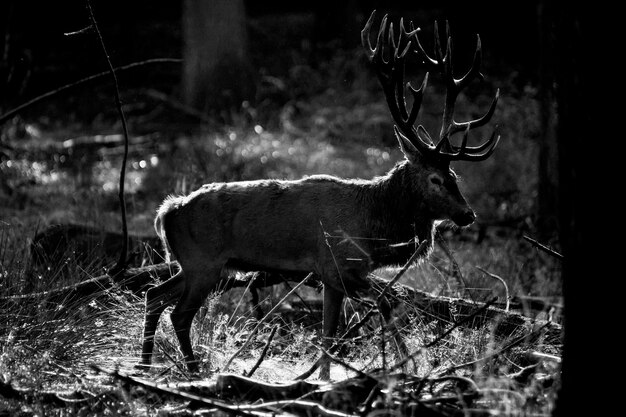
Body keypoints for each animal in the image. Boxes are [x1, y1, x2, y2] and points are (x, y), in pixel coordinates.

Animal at [136, 11, 498, 378]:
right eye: (436, 179)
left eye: (455, 176)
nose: (468, 214)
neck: (373, 228)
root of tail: (166, 212)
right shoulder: (336, 265)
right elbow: (365, 313)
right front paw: (397, 365)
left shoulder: (336, 276)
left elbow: (349, 320)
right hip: (204, 263)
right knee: (179, 313)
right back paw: (192, 370)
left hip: (198, 265)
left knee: (154, 295)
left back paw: (145, 364)